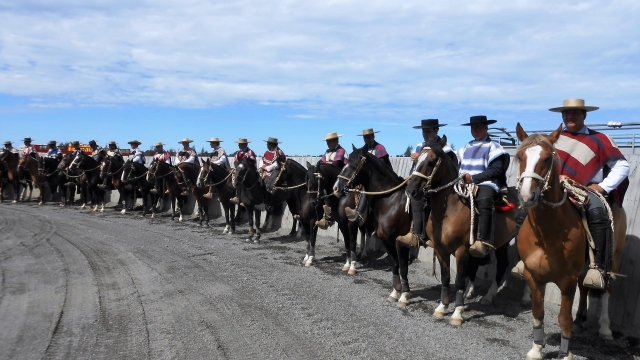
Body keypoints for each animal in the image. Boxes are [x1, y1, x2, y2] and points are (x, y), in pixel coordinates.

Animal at [404, 136, 520, 326]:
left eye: (431, 162)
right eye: (417, 159)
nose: (411, 190)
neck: (451, 211)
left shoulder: (461, 251)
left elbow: (458, 280)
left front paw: (457, 312)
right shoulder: (441, 250)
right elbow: (445, 278)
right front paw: (442, 307)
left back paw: (487, 297)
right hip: (500, 242)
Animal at [512, 124, 628, 360]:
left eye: (547, 158)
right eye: (520, 156)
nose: (527, 197)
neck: (546, 233)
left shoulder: (566, 280)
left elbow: (563, 317)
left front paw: (566, 354)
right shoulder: (533, 276)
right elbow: (538, 312)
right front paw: (536, 348)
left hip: (611, 260)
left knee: (606, 289)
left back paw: (605, 329)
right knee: (585, 286)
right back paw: (580, 319)